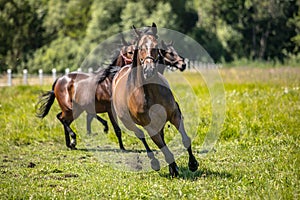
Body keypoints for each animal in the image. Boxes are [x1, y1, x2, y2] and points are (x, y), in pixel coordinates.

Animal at [111, 23, 198, 177]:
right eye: (140, 48)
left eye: (156, 47)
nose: (149, 70)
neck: (150, 91)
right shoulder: (149, 125)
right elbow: (162, 146)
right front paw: (173, 168)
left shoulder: (174, 114)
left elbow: (185, 139)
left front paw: (192, 163)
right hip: (128, 122)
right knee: (140, 135)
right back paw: (155, 162)